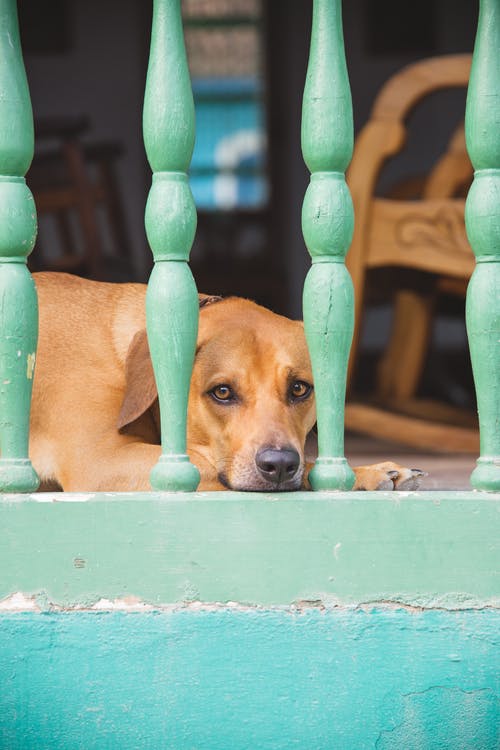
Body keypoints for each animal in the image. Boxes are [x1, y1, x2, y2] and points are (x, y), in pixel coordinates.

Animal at [29, 274, 424, 496]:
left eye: (299, 388)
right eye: (222, 392)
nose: (280, 465)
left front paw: (365, 473)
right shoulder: (101, 463)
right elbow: (202, 467)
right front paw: (366, 474)